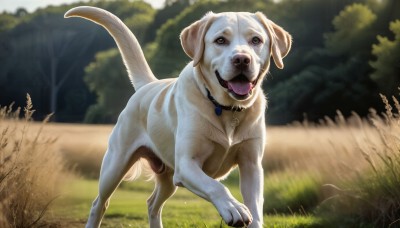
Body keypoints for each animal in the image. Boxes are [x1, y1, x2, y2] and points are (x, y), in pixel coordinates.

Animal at [65, 5, 290, 228]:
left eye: (256, 40)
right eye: (220, 40)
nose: (242, 59)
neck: (226, 108)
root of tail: (148, 84)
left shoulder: (252, 165)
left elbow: (255, 208)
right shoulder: (186, 164)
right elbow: (215, 186)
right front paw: (233, 208)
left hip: (167, 177)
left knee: (152, 204)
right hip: (115, 166)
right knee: (99, 203)